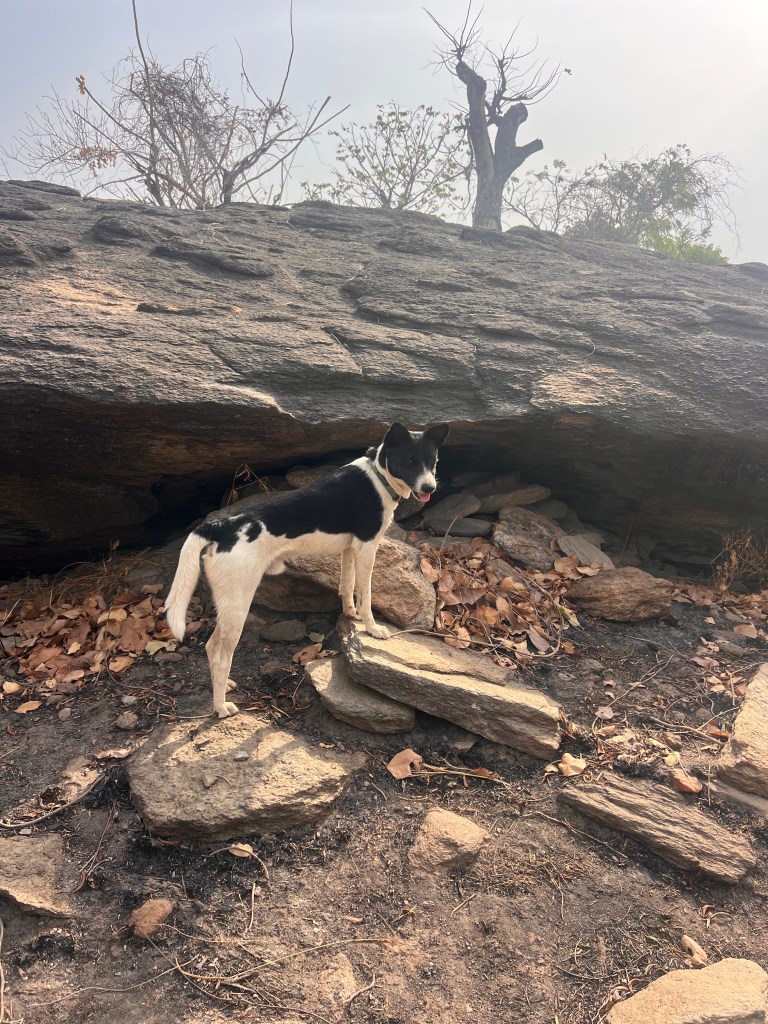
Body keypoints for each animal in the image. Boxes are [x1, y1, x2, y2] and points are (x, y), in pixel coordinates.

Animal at [165, 422, 450, 718]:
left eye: (433, 462)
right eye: (410, 461)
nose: (429, 486)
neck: (378, 476)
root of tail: (222, 527)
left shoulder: (350, 549)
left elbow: (347, 586)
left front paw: (351, 614)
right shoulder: (367, 548)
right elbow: (366, 594)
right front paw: (372, 628)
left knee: (212, 649)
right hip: (237, 603)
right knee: (219, 652)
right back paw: (221, 707)